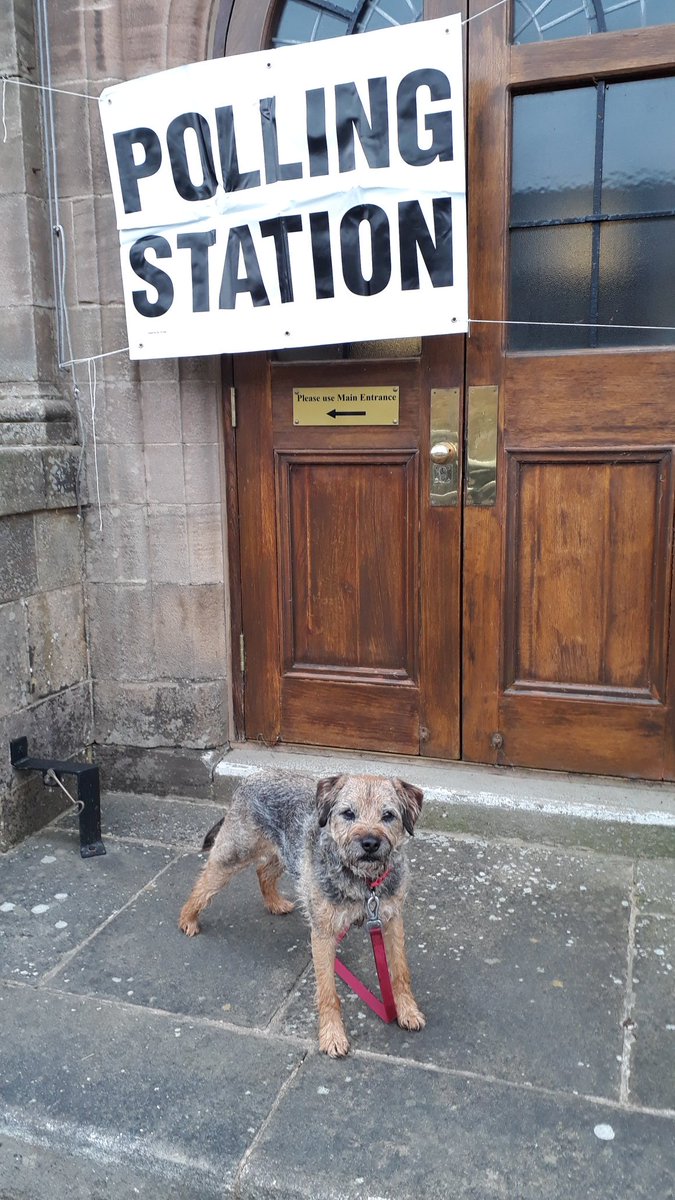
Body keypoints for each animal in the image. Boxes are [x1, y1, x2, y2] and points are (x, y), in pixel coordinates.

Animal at [176, 772, 422, 1056]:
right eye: (348, 813)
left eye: (388, 815)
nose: (370, 843)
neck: (364, 882)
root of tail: (251, 778)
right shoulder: (323, 934)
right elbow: (328, 991)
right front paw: (332, 1035)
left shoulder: (391, 920)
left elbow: (400, 971)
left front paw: (408, 1011)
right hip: (234, 853)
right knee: (205, 882)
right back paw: (188, 919)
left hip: (284, 852)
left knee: (263, 872)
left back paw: (275, 903)